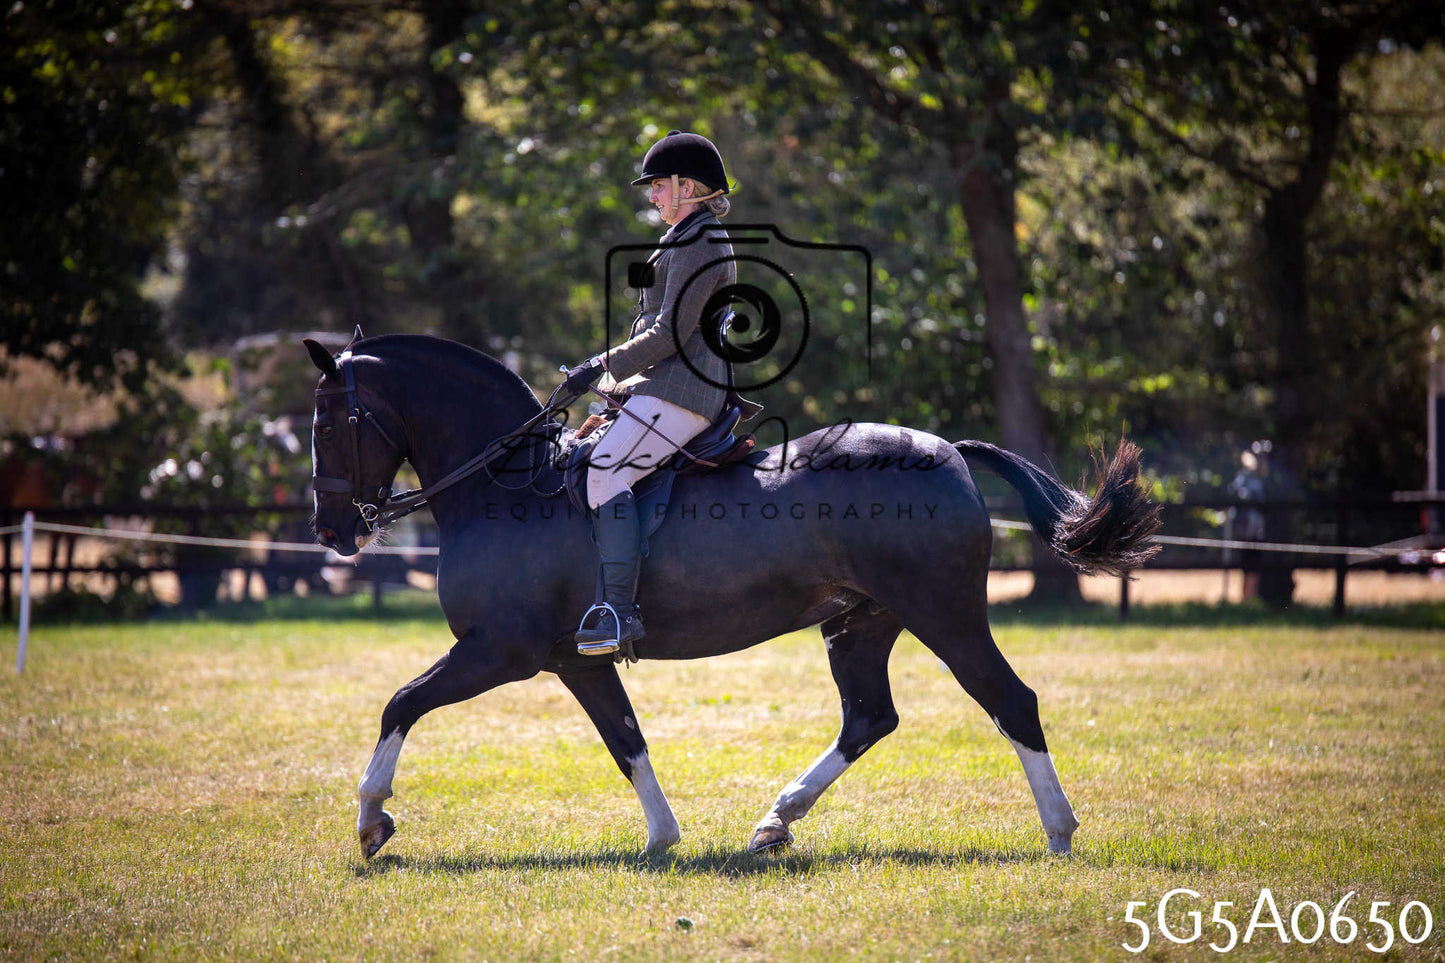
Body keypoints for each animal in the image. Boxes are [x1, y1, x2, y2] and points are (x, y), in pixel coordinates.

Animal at [303, 333, 1159, 860]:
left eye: (329, 421)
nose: (330, 529)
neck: (506, 486)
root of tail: (946, 449)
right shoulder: (575, 661)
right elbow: (626, 740)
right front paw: (661, 837)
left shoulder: (495, 652)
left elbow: (401, 703)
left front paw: (372, 818)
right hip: (859, 624)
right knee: (868, 717)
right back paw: (776, 819)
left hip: (942, 615)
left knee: (1009, 701)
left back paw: (1058, 832)